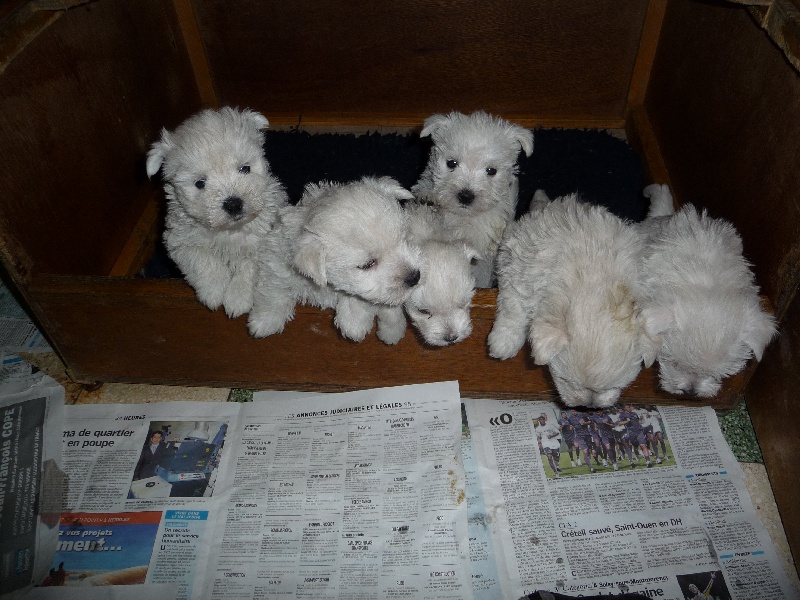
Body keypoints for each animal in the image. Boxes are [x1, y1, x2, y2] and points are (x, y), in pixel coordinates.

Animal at [145, 106, 286, 318]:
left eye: (245, 169)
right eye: (199, 183)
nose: (233, 204)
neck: (228, 231)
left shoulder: (265, 240)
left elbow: (249, 266)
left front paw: (238, 298)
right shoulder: (181, 240)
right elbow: (202, 260)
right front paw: (213, 293)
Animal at [248, 176, 424, 344]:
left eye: (404, 239)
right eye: (368, 264)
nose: (415, 277)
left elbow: (358, 296)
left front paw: (354, 324)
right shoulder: (277, 262)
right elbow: (273, 290)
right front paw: (264, 321)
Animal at [490, 192, 660, 408]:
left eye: (616, 387)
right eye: (566, 381)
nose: (589, 406)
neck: (595, 276)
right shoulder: (517, 271)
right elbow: (513, 308)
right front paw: (503, 343)